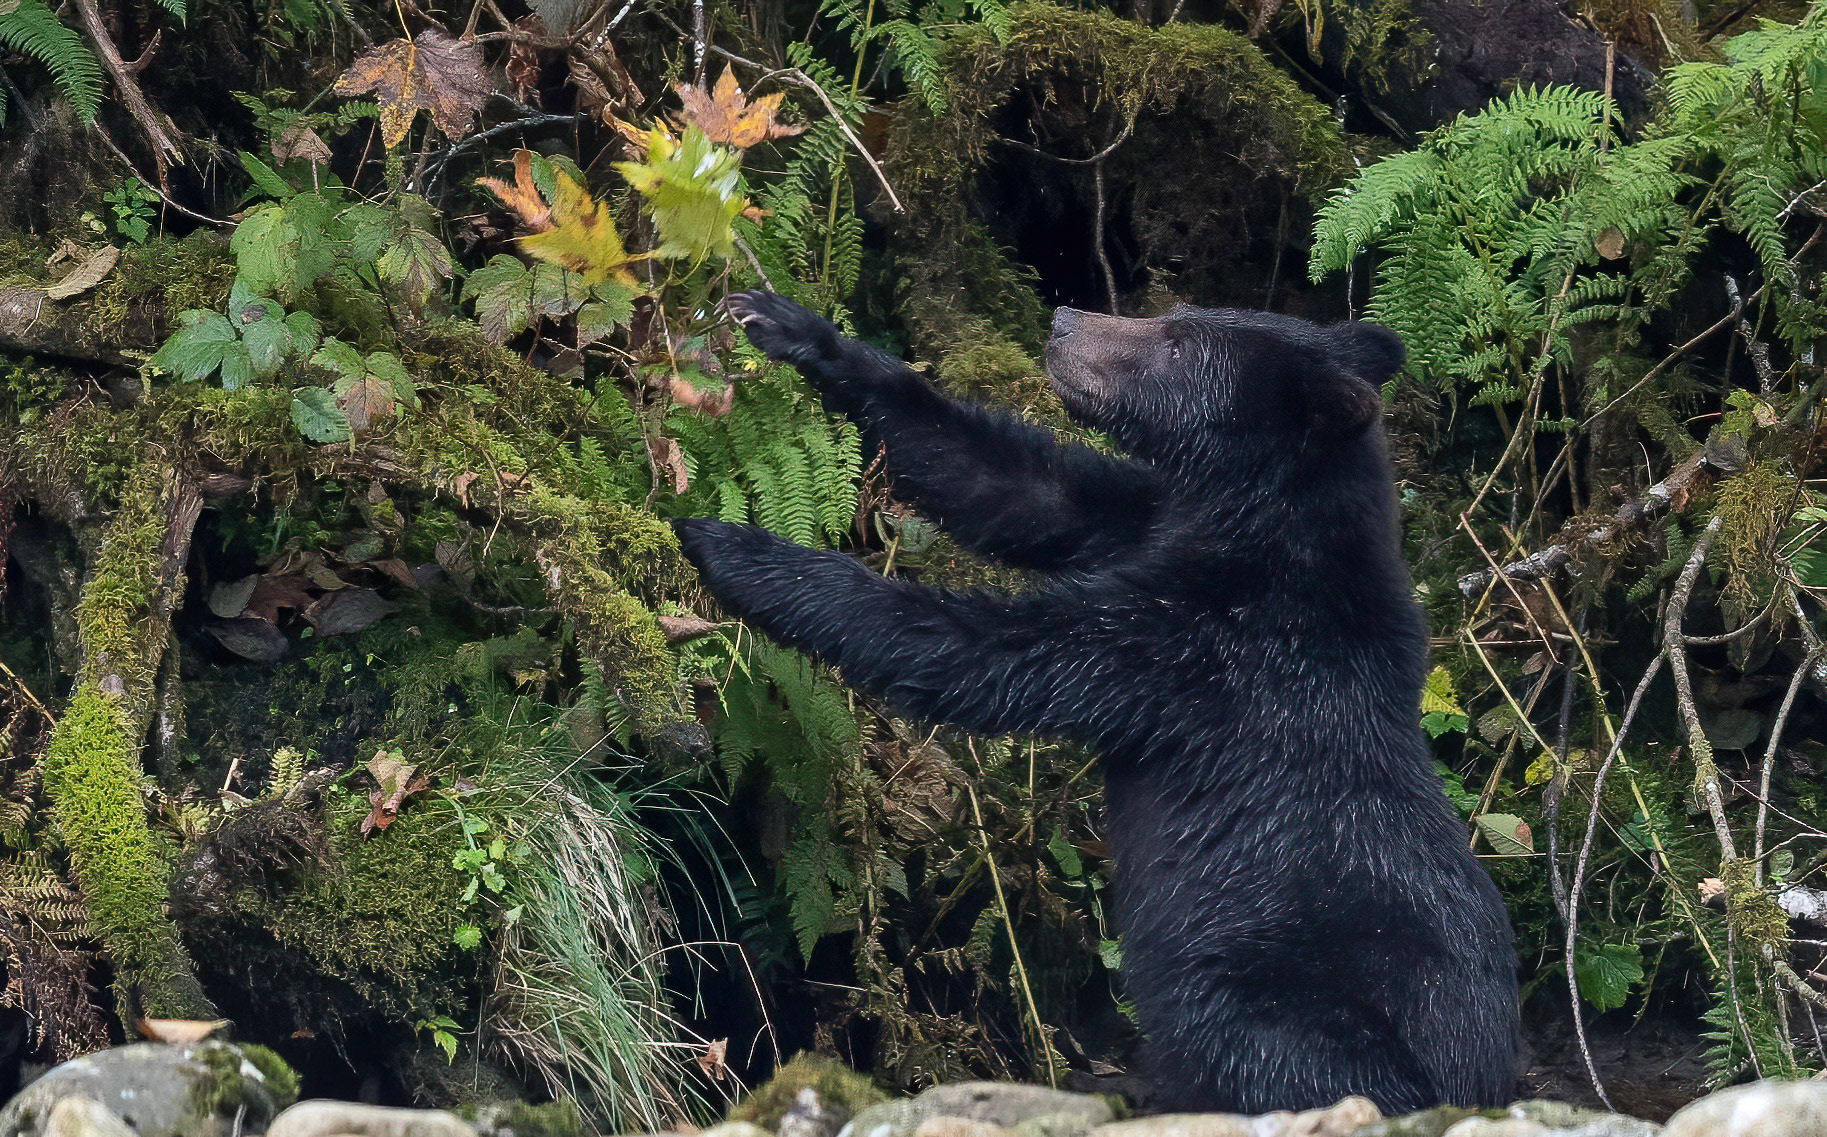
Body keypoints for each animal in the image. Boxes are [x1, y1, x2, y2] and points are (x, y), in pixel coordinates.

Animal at [673, 291, 1519, 1115]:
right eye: (1180, 312)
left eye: (1177, 344)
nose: (1063, 322)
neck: (1251, 520)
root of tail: (1481, 1082)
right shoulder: (1135, 516)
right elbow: (1010, 479)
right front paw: (789, 325)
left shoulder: (1205, 646)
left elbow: (988, 649)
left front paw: (735, 549)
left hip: (1290, 989)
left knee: (1260, 1048)